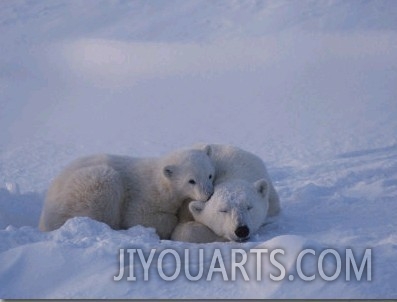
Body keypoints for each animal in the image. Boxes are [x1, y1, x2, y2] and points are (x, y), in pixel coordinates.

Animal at [39, 145, 213, 239]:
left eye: (210, 175)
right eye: (191, 181)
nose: (208, 195)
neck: (161, 185)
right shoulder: (144, 195)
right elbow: (137, 217)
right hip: (85, 187)